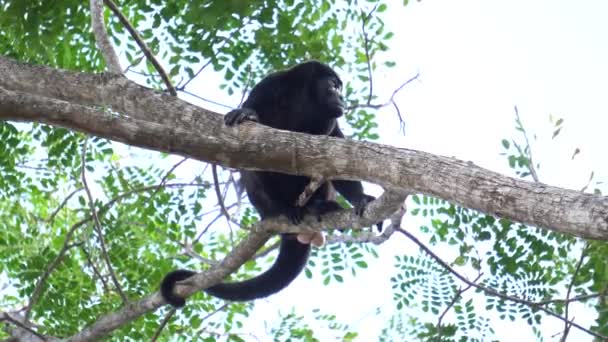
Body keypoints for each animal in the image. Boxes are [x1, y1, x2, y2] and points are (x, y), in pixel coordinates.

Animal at [162, 60, 380, 306]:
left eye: (340, 88)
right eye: (334, 85)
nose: (342, 97)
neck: (302, 100)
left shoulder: (330, 121)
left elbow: (337, 158)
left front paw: (360, 198)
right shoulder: (270, 85)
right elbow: (253, 113)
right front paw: (247, 113)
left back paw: (319, 206)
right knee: (253, 167)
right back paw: (284, 210)